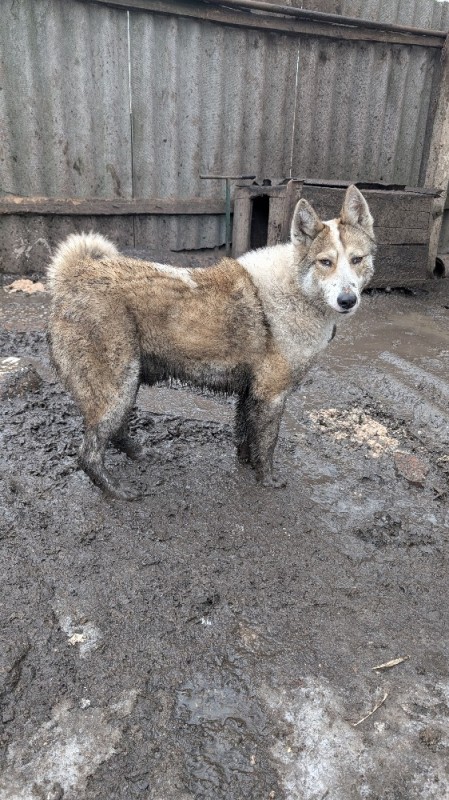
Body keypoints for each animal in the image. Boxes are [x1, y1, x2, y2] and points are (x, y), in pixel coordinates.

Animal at [46, 187, 374, 500]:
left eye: (357, 260)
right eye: (325, 262)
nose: (347, 300)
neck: (296, 287)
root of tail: (74, 275)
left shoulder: (250, 393)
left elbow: (245, 436)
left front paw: (246, 465)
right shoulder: (272, 396)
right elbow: (267, 444)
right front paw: (266, 478)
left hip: (127, 384)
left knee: (113, 434)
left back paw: (138, 453)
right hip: (116, 388)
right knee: (87, 454)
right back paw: (116, 490)